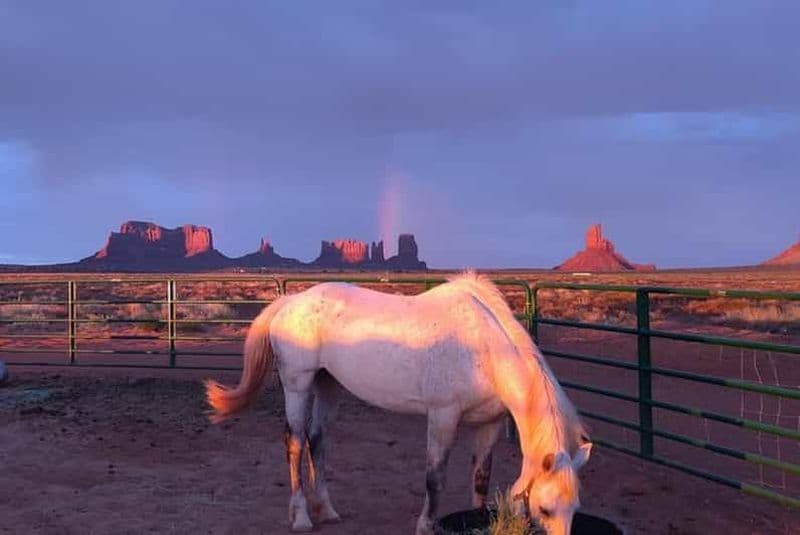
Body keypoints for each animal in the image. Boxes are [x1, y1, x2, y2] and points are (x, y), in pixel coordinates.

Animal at [204, 272, 592, 535]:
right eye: (544, 509)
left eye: (574, 508)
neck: (485, 349)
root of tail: (290, 302)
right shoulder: (442, 417)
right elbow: (434, 478)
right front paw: (425, 525)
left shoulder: (489, 423)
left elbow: (481, 479)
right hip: (298, 385)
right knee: (296, 443)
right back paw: (301, 517)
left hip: (328, 384)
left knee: (317, 439)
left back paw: (327, 510)